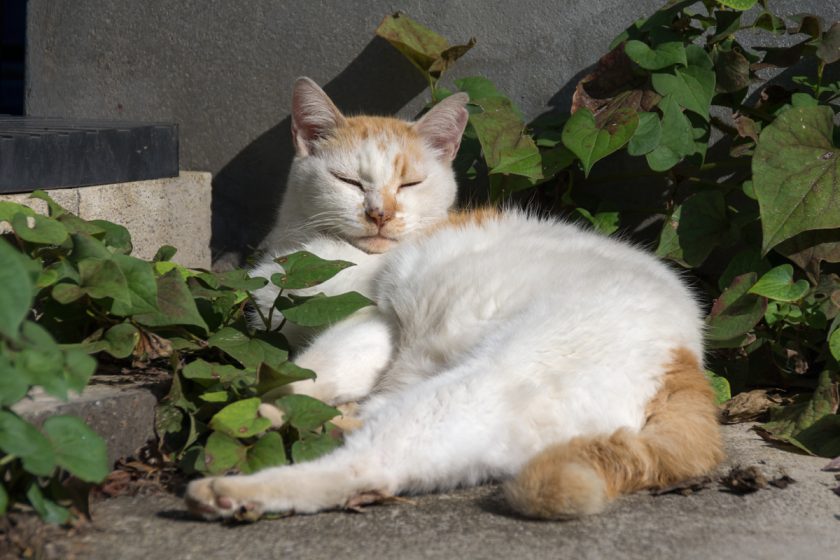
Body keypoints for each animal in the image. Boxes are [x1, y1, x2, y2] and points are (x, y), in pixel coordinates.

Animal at [187, 76, 724, 520]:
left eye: (410, 183)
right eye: (349, 182)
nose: (380, 214)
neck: (301, 248)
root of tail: (689, 359)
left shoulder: (371, 320)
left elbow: (307, 370)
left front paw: (276, 399)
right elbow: (303, 374)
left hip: (474, 388)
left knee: (369, 464)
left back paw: (231, 488)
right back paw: (309, 424)